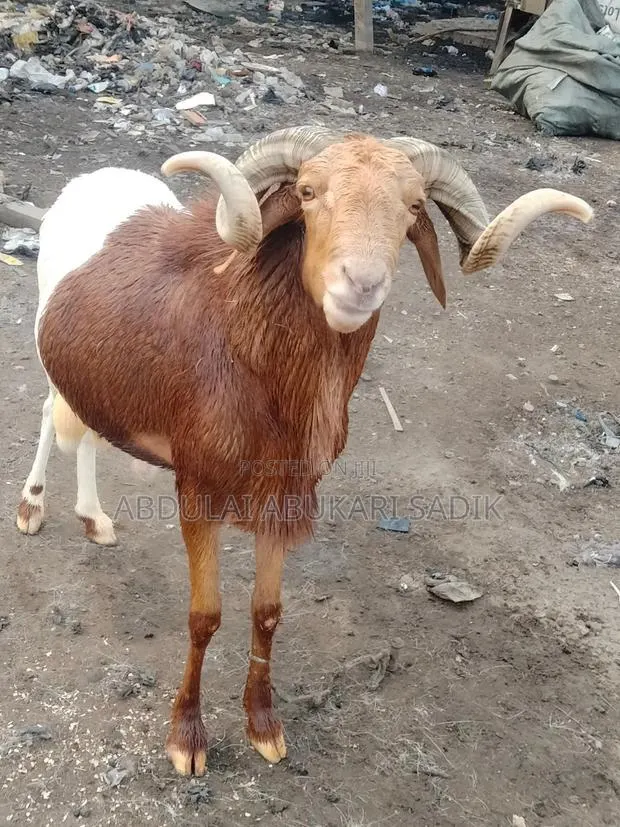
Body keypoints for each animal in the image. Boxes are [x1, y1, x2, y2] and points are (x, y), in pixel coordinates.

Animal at [17, 126, 593, 775]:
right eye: (310, 192)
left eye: (413, 206)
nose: (360, 285)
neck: (247, 353)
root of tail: (90, 181)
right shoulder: (198, 492)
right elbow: (204, 616)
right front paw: (186, 740)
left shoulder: (285, 500)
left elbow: (267, 614)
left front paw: (264, 728)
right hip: (52, 362)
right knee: (48, 416)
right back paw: (32, 508)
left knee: (86, 432)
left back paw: (95, 521)